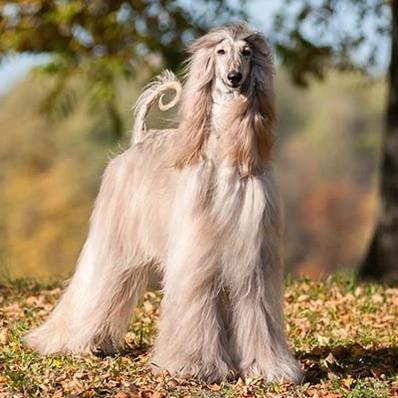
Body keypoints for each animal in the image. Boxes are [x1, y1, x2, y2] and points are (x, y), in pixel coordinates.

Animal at [24, 23, 304, 384]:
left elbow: (255, 311)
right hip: (112, 239)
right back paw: (65, 340)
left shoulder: (252, 260)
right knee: (93, 283)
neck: (225, 155)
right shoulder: (196, 254)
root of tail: (142, 139)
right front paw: (193, 365)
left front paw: (266, 368)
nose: (234, 78)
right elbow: (195, 304)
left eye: (246, 52)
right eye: (221, 52)